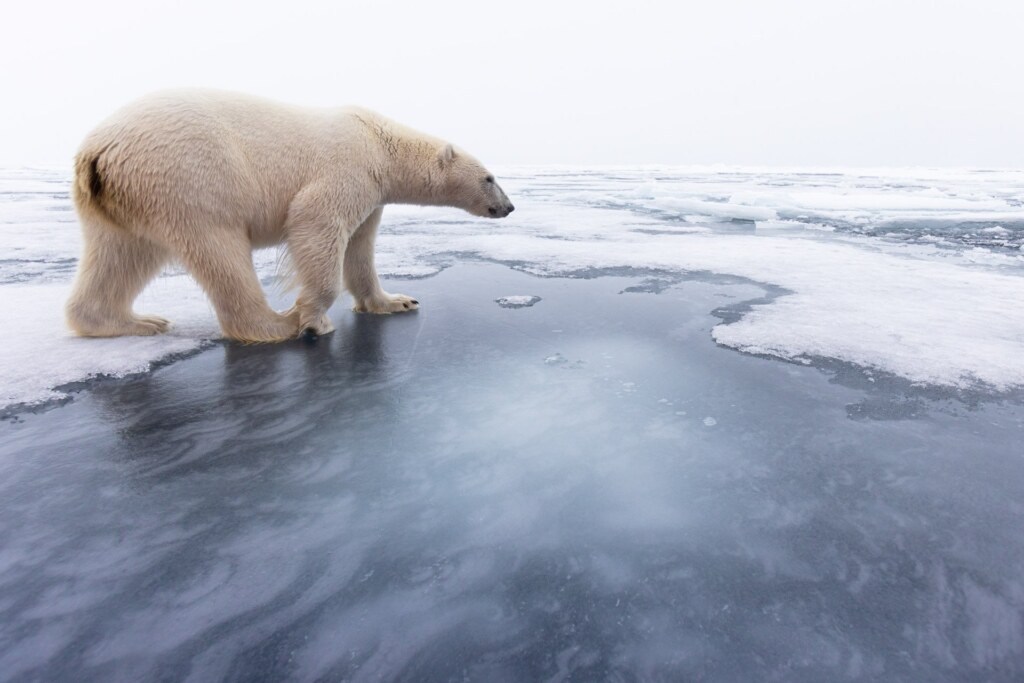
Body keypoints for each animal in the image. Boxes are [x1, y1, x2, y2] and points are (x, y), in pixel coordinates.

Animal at [66, 89, 514, 342]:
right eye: (490, 177)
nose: (509, 207)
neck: (379, 143)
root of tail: (97, 150)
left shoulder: (372, 194)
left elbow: (360, 249)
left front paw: (398, 300)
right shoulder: (346, 168)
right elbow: (316, 222)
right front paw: (312, 319)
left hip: (122, 201)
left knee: (121, 255)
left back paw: (134, 321)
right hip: (191, 175)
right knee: (220, 249)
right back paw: (276, 324)